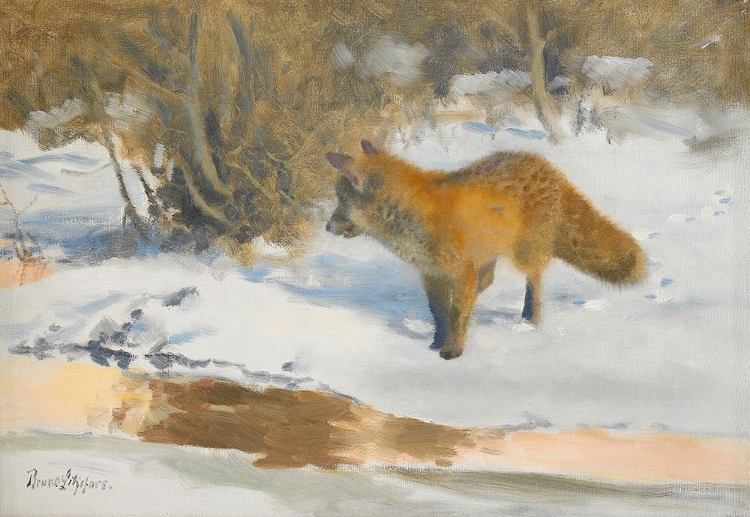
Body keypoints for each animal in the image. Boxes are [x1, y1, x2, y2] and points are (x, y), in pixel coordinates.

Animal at [326, 140, 647, 359]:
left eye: (340, 199)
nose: (327, 227)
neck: (416, 218)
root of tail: (547, 166)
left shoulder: (460, 271)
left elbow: (457, 313)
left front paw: (452, 350)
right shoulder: (433, 275)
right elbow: (440, 313)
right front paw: (437, 341)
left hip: (524, 253)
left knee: (534, 277)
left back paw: (531, 316)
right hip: (489, 254)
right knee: (488, 280)